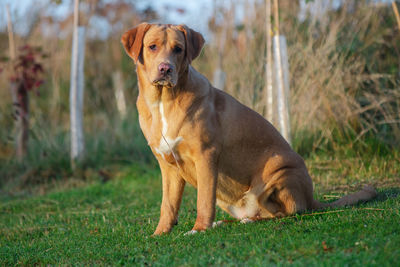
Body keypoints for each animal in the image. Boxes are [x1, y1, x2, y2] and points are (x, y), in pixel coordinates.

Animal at [120, 23, 376, 237]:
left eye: (178, 49)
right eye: (152, 46)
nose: (165, 68)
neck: (163, 101)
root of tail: (311, 199)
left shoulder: (205, 157)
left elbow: (203, 200)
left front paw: (199, 229)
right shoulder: (168, 166)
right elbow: (168, 205)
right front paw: (159, 233)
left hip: (276, 177)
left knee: (284, 213)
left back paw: (249, 220)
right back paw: (227, 222)